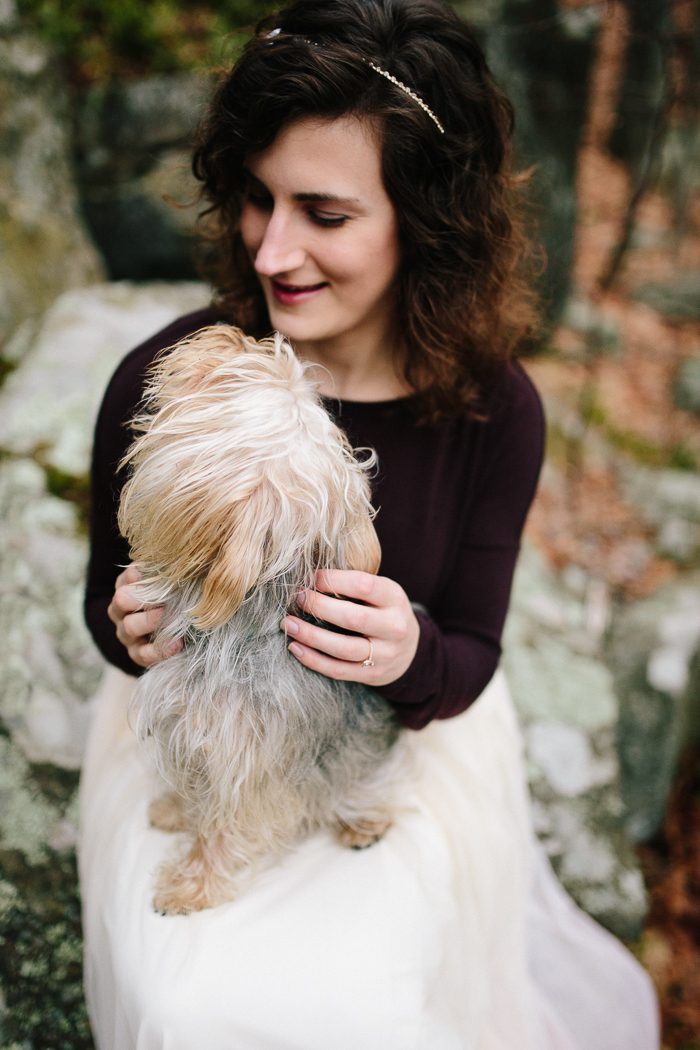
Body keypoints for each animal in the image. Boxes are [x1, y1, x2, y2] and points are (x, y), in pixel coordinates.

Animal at [117, 323, 402, 915]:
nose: (233, 335)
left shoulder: (246, 770)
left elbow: (221, 828)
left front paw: (191, 887)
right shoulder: (188, 733)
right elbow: (191, 787)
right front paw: (175, 808)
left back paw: (363, 824)